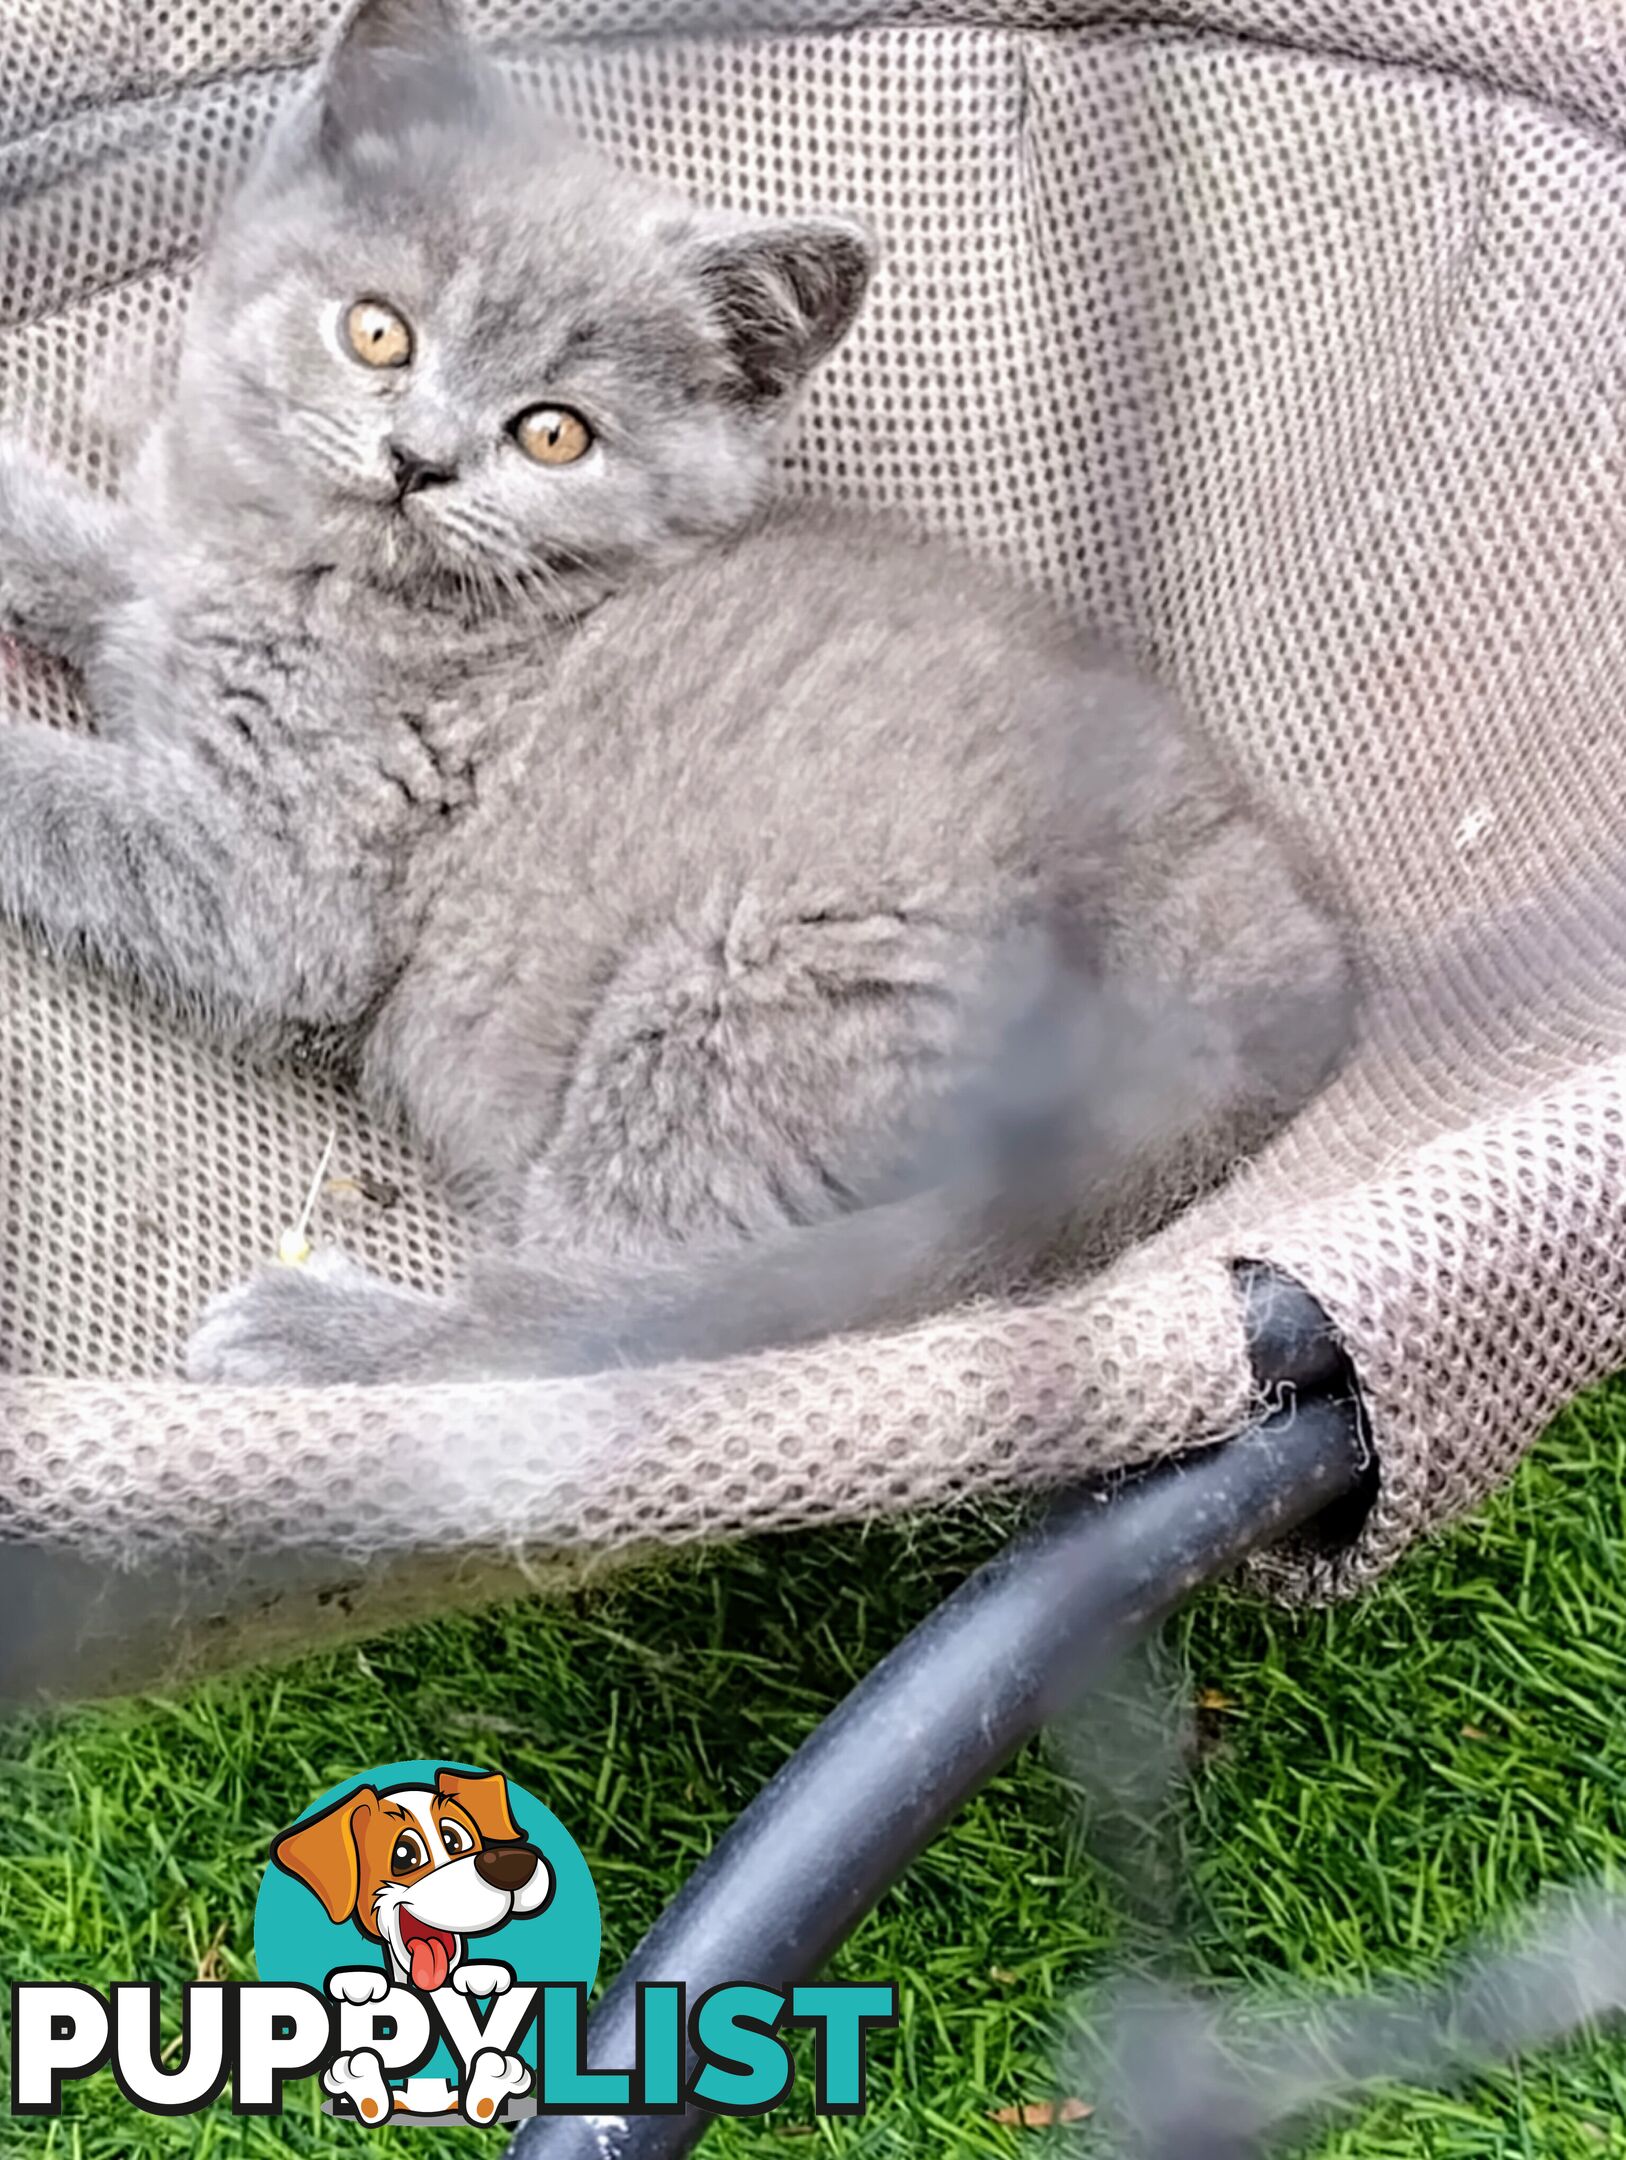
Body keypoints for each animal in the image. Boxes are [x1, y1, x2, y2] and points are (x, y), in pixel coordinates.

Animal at [0, 0, 1347, 1382]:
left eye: (554, 435)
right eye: (379, 330)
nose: (418, 462)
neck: (310, 576)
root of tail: (1270, 956)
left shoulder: (281, 891)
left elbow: (74, 807)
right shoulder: (158, 586)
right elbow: (102, 564)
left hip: (742, 1000)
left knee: (596, 1335)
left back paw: (326, 1336)